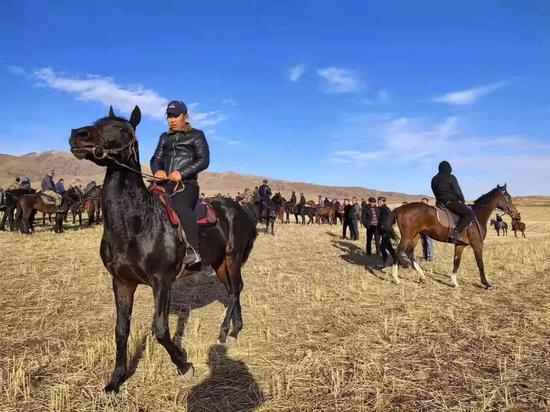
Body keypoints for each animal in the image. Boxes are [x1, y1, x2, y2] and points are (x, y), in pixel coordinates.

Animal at [69, 105, 257, 392]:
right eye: (98, 121)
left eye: (122, 128)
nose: (78, 135)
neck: (138, 221)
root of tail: (241, 210)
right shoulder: (122, 282)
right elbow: (121, 330)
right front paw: (116, 379)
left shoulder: (162, 281)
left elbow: (160, 330)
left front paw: (184, 365)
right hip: (219, 264)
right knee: (234, 290)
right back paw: (236, 329)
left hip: (232, 258)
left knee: (236, 290)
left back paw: (225, 332)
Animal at [382, 184, 519, 289]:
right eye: (508, 197)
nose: (517, 215)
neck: (477, 216)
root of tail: (400, 209)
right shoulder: (477, 245)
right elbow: (480, 263)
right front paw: (486, 284)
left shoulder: (460, 245)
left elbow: (456, 262)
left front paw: (454, 282)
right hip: (408, 236)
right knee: (398, 251)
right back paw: (396, 278)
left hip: (416, 236)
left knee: (409, 252)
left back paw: (422, 276)